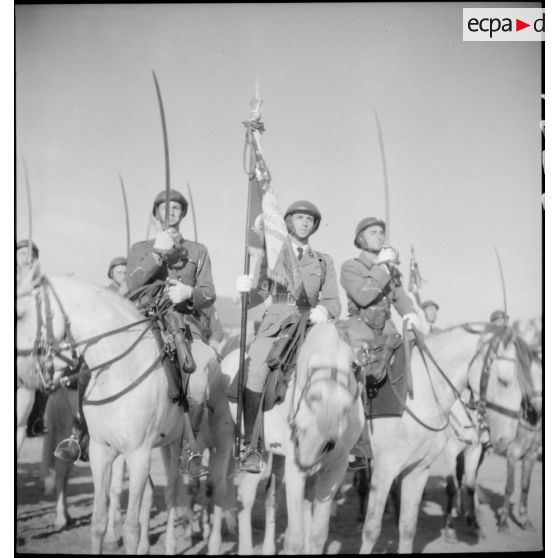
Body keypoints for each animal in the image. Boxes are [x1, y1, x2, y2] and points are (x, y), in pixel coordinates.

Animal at [16, 263, 235, 554]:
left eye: (19, 314)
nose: (20, 378)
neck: (120, 368)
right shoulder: (101, 451)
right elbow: (98, 519)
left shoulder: (138, 455)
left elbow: (131, 528)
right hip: (168, 445)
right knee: (168, 492)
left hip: (220, 445)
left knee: (214, 490)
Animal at [221, 321, 365, 554]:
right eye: (299, 428)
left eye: (330, 442)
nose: (305, 461)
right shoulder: (295, 466)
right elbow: (294, 538)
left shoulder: (335, 466)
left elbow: (317, 535)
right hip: (245, 447)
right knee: (245, 497)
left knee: (271, 498)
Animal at [356, 324, 524, 554]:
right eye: (503, 381)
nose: (506, 438)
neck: (418, 395)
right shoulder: (384, 469)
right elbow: (371, 530)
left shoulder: (418, 469)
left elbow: (408, 527)